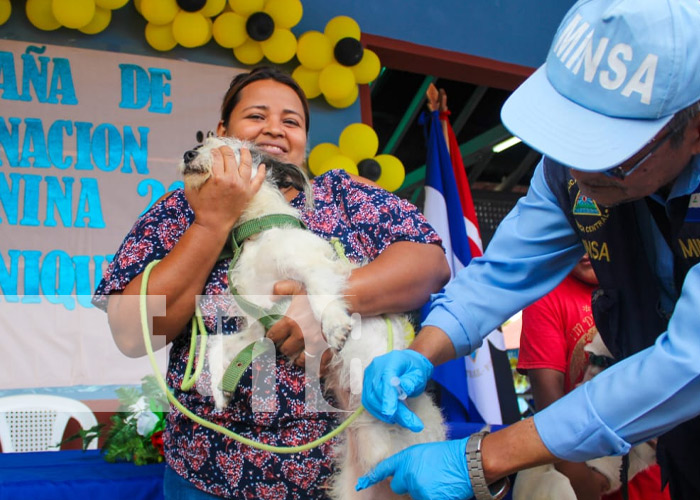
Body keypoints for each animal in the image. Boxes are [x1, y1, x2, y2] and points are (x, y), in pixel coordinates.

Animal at [178, 136, 446, 500]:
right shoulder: (260, 325)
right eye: (203, 141)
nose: (188, 153)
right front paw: (221, 394)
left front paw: (335, 327)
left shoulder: (312, 270)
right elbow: (219, 346)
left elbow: (320, 300)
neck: (259, 232)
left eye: (225, 149)